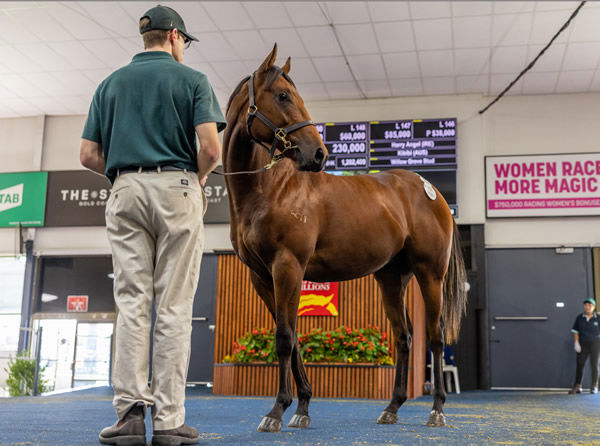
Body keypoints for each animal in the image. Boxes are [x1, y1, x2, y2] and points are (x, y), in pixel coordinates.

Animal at [221, 45, 468, 432]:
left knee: (436, 335)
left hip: (431, 275)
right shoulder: (261, 276)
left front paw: (277, 410)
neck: (270, 188)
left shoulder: (288, 267)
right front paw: (302, 407)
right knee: (405, 337)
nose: (318, 154)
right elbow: (291, 336)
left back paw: (437, 410)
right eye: (283, 96)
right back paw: (392, 407)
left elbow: (284, 338)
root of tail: (431, 190)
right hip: (392, 277)